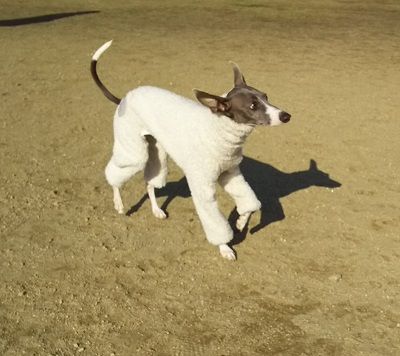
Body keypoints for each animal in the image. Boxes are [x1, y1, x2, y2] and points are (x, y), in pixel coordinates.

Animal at [90, 40, 290, 260]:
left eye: (266, 96)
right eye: (253, 106)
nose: (286, 116)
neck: (217, 130)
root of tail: (125, 97)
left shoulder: (230, 173)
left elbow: (249, 203)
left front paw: (240, 222)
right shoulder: (203, 185)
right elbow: (215, 223)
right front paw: (225, 247)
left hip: (157, 152)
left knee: (150, 182)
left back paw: (156, 210)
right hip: (134, 150)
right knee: (115, 174)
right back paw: (118, 204)